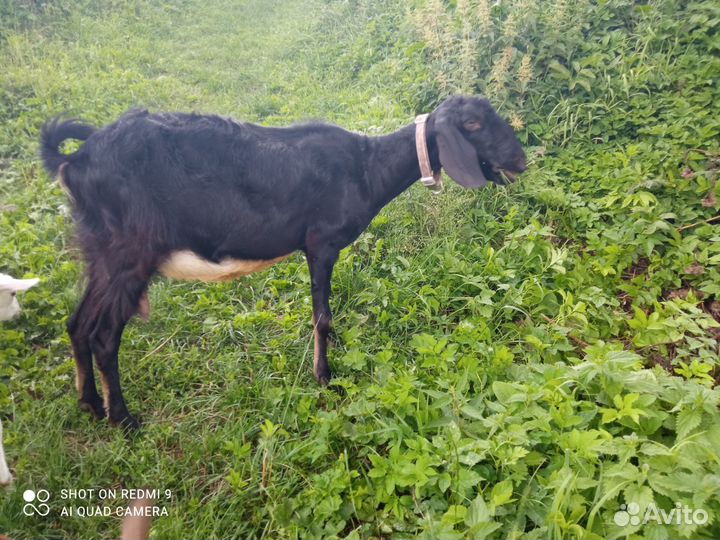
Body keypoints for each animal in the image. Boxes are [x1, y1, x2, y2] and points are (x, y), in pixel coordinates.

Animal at [40, 95, 527, 429]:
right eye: (472, 123)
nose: (520, 160)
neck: (366, 168)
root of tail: (75, 160)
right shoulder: (321, 242)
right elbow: (322, 317)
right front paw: (324, 376)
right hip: (129, 252)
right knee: (103, 335)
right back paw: (123, 419)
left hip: (102, 252)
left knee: (77, 323)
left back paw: (89, 404)